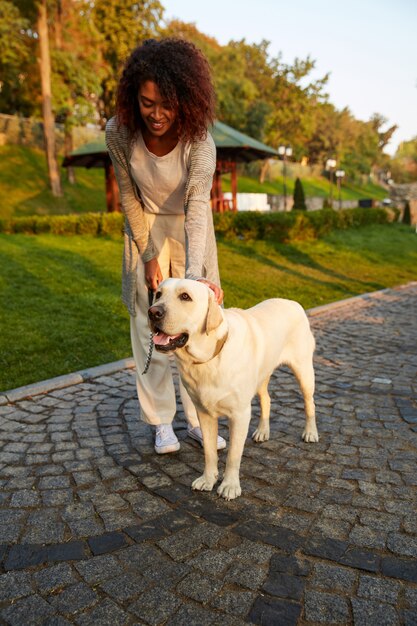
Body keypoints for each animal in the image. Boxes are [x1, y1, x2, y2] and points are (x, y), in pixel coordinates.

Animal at [148, 278, 316, 498]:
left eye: (185, 296)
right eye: (158, 294)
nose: (153, 312)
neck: (207, 359)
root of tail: (293, 302)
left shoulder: (240, 414)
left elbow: (233, 455)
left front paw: (229, 485)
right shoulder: (204, 413)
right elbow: (209, 451)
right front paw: (208, 479)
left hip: (304, 371)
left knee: (309, 402)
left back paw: (311, 432)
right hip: (261, 376)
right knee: (267, 399)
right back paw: (263, 431)